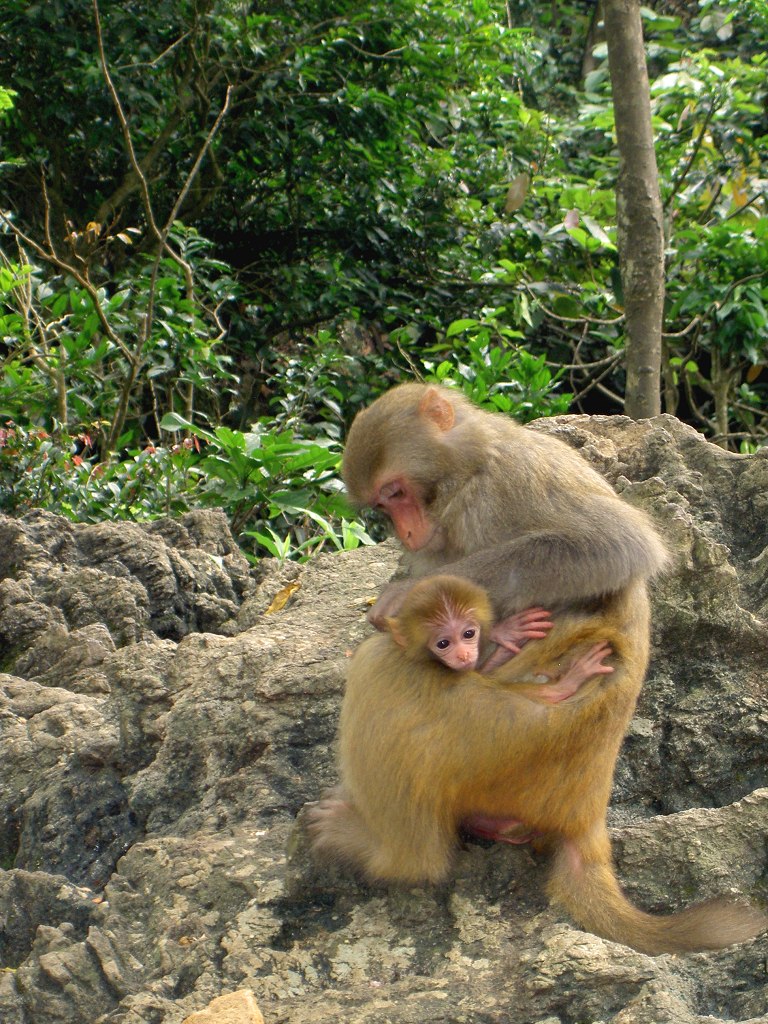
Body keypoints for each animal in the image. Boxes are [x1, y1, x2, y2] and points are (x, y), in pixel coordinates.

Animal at [309, 382, 768, 950]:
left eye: (395, 493)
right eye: (381, 504)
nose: (407, 532)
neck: (470, 467)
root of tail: (587, 812)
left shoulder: (513, 478)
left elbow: (615, 545)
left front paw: (406, 594)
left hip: (498, 741)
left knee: (378, 669)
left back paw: (391, 853)